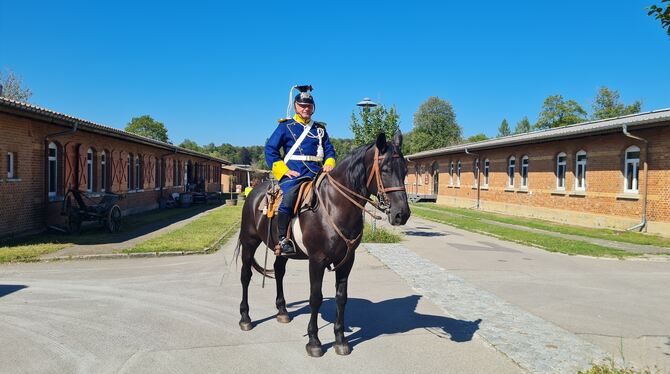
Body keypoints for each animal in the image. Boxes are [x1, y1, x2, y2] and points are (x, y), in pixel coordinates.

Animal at [236, 131, 414, 356]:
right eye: (385, 169)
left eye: (405, 170)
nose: (402, 214)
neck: (334, 205)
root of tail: (254, 192)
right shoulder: (317, 260)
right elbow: (316, 297)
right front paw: (314, 341)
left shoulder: (347, 261)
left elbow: (341, 297)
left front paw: (340, 339)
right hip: (249, 241)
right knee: (245, 276)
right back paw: (245, 318)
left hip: (282, 251)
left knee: (278, 272)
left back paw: (282, 311)